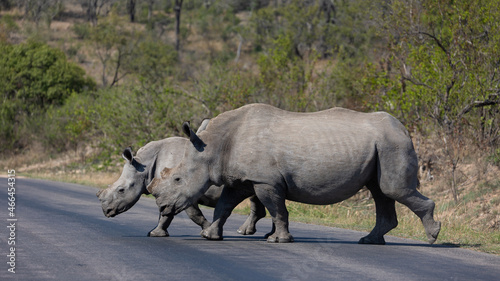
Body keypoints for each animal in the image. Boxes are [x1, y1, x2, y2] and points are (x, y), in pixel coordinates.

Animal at [96, 132, 266, 236]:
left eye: (121, 190)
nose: (106, 211)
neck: (145, 166)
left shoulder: (183, 191)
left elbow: (192, 214)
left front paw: (206, 229)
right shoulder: (167, 191)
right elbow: (164, 214)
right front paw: (155, 233)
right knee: (257, 195)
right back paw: (248, 232)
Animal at [147, 103, 442, 243]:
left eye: (177, 179)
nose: (162, 206)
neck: (213, 147)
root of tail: (405, 128)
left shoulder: (265, 180)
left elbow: (277, 209)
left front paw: (278, 240)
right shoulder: (241, 179)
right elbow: (225, 206)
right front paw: (209, 236)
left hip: (392, 143)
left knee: (393, 189)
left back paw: (433, 236)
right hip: (384, 144)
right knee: (380, 191)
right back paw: (369, 241)